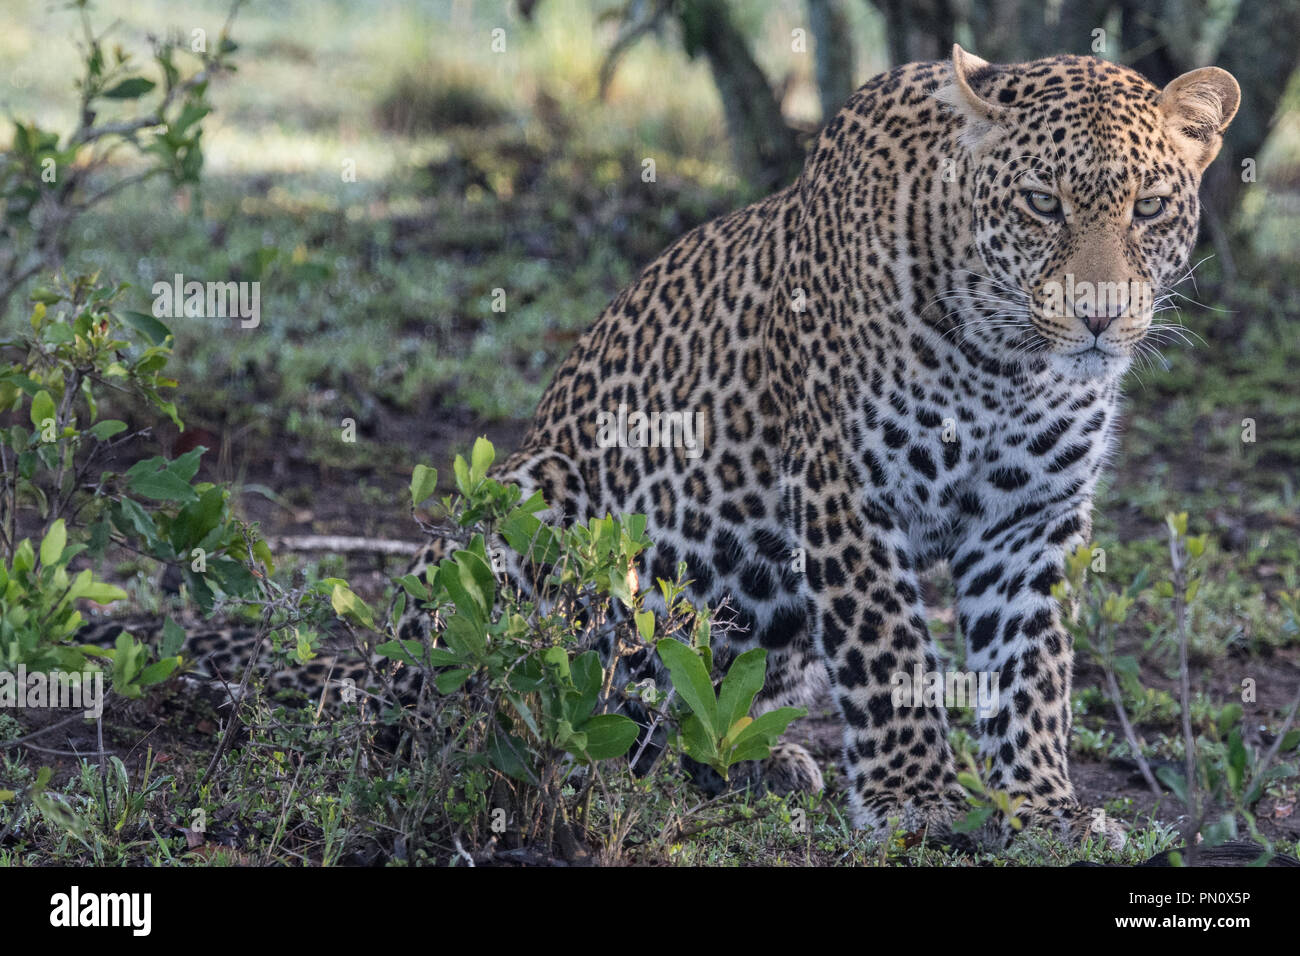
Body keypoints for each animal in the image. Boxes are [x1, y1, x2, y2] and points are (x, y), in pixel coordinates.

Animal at [392, 44, 1239, 847]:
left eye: (1150, 207)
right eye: (1041, 203)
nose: (1099, 315)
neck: (1011, 362)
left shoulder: (1029, 518)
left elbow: (1031, 671)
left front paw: (1042, 806)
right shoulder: (849, 489)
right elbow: (888, 648)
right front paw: (917, 799)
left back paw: (759, 764)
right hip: (534, 499)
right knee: (455, 687)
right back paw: (484, 745)